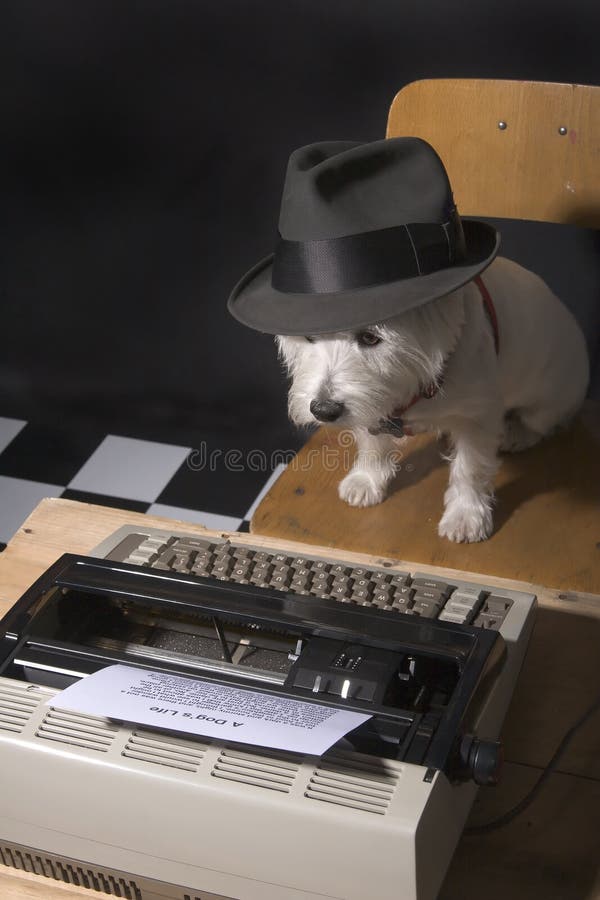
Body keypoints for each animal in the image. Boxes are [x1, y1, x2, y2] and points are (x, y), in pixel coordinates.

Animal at [278, 256, 588, 544]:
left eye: (370, 337)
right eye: (308, 337)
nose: (323, 410)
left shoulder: (478, 417)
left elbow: (470, 467)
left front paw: (465, 514)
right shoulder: (370, 405)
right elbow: (372, 444)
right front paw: (367, 478)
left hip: (550, 394)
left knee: (544, 422)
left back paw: (517, 433)